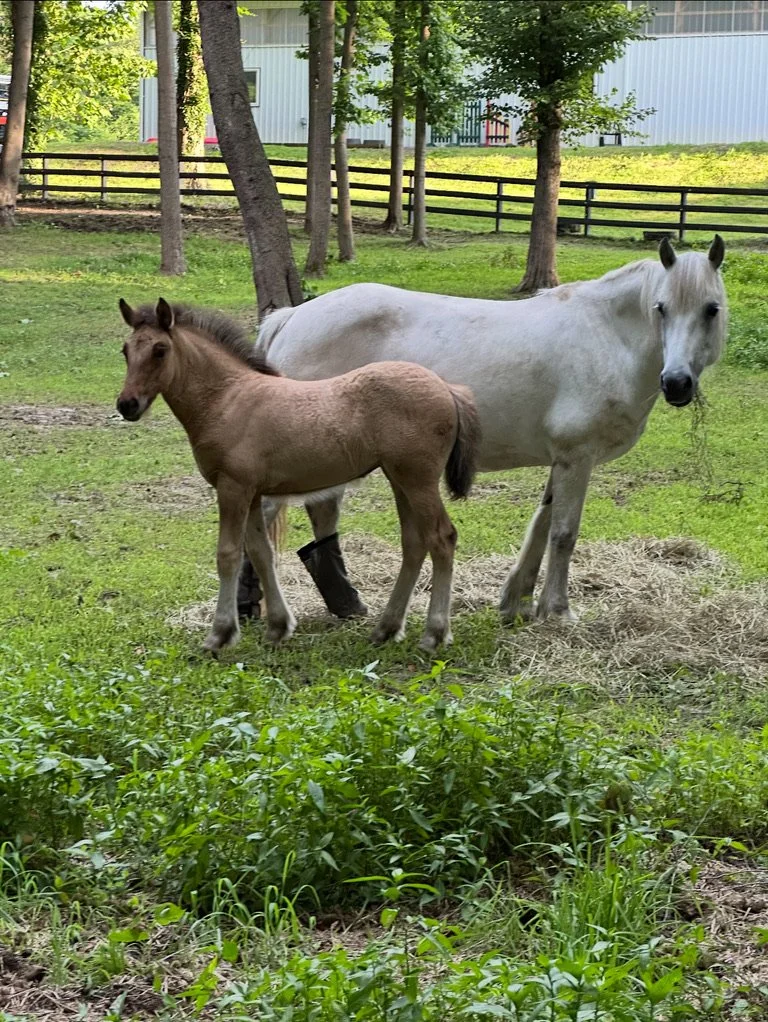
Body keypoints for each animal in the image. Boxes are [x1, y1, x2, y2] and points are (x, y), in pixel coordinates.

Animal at [115, 298, 481, 653]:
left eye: (160, 349)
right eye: (125, 350)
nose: (127, 405)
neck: (227, 399)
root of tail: (447, 388)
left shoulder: (232, 487)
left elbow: (228, 554)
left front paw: (219, 635)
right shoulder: (251, 492)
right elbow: (261, 553)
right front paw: (278, 627)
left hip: (419, 480)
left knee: (442, 537)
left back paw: (434, 634)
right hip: (401, 479)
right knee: (414, 543)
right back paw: (386, 629)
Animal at [254, 236, 728, 624]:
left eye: (711, 309)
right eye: (661, 308)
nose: (677, 383)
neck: (607, 335)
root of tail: (292, 317)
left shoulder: (563, 459)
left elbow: (542, 524)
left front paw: (518, 601)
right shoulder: (578, 457)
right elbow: (563, 533)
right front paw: (558, 611)